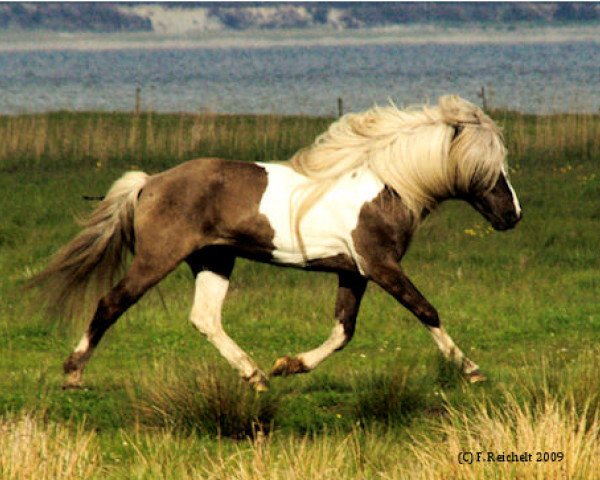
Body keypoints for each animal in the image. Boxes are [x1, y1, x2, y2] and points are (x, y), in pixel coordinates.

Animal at [30, 94, 520, 390]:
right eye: (489, 168)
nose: (512, 216)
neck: (385, 185)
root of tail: (149, 182)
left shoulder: (354, 271)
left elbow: (343, 331)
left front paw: (289, 365)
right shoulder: (381, 266)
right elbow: (426, 310)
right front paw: (472, 370)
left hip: (214, 259)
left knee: (205, 318)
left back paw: (256, 376)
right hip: (158, 258)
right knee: (111, 303)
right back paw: (73, 374)